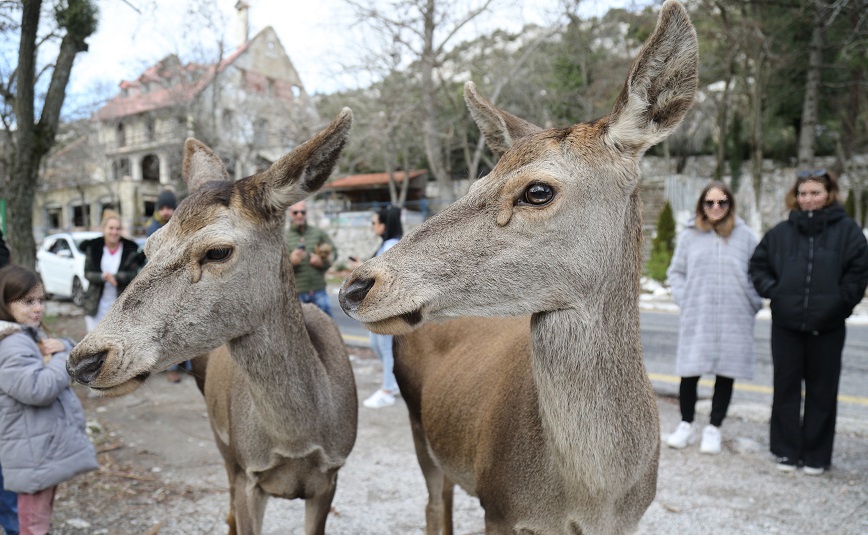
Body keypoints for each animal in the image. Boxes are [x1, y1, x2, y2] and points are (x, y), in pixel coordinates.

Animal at [66, 110, 360, 535]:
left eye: (218, 251)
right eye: (148, 247)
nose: (83, 360)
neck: (297, 441)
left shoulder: (332, 474)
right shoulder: (247, 471)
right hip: (220, 440)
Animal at [340, 2, 700, 532]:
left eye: (537, 190)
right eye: (475, 184)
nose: (357, 285)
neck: (591, 497)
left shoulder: (630, 519)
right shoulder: (501, 503)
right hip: (419, 430)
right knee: (434, 504)